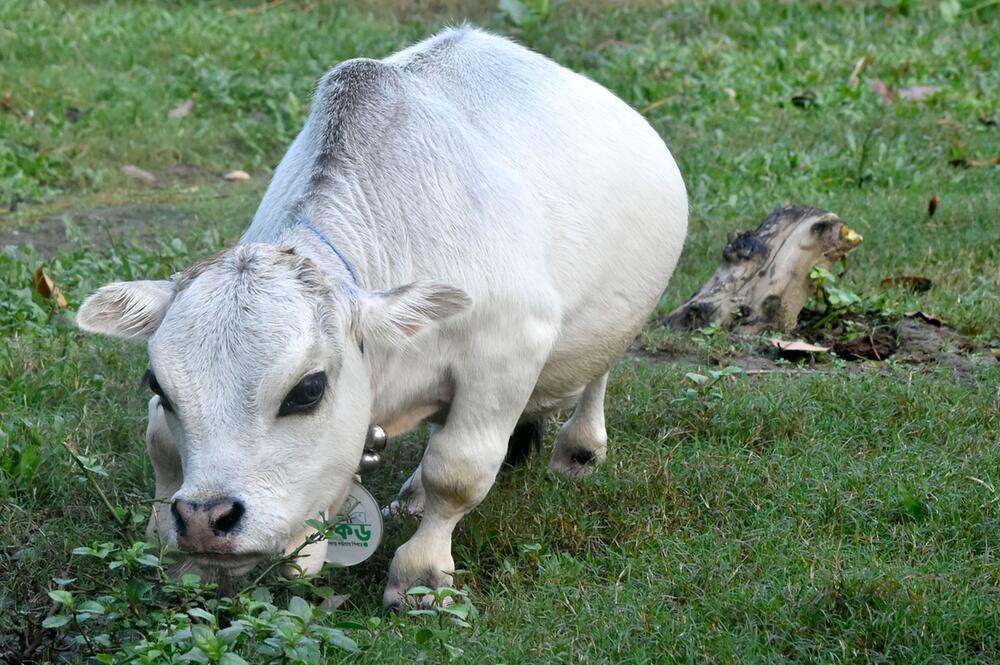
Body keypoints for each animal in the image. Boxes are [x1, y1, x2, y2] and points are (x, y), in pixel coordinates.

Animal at [78, 26, 688, 608]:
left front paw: (421, 577)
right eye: (158, 383)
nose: (206, 519)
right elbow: (160, 444)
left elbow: (458, 470)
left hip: (614, 323)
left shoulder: (507, 353)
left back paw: (579, 449)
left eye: (308, 390)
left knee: (597, 374)